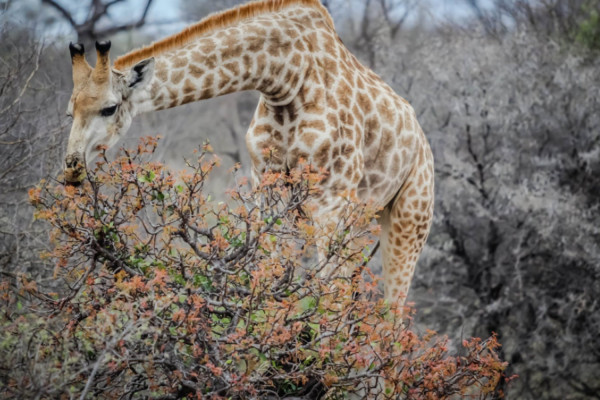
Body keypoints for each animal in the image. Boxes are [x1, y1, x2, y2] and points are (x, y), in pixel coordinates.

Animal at [64, 0, 432, 304]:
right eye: (70, 112)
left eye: (109, 108)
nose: (71, 168)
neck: (286, 78)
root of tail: (421, 138)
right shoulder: (266, 185)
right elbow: (268, 273)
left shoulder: (330, 198)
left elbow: (327, 293)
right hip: (363, 216)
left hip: (410, 217)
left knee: (392, 310)